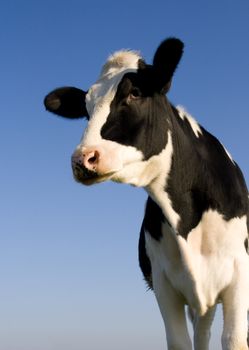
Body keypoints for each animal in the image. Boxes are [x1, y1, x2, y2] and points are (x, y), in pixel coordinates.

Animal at [44, 39, 249, 350]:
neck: (186, 217)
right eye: (86, 110)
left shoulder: (239, 274)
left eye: (135, 93)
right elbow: (179, 342)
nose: (82, 159)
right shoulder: (163, 283)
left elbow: (235, 339)